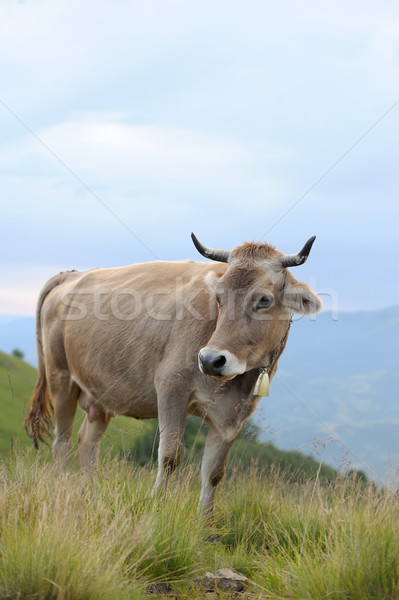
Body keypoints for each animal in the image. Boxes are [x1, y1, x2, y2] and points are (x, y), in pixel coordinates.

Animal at [25, 232, 322, 512]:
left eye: (264, 300)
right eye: (218, 298)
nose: (211, 360)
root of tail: (72, 274)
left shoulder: (233, 415)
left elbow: (213, 472)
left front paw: (205, 523)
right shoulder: (171, 387)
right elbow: (169, 456)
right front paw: (156, 505)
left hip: (101, 394)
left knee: (87, 440)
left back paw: (91, 491)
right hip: (61, 378)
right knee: (62, 442)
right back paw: (61, 486)